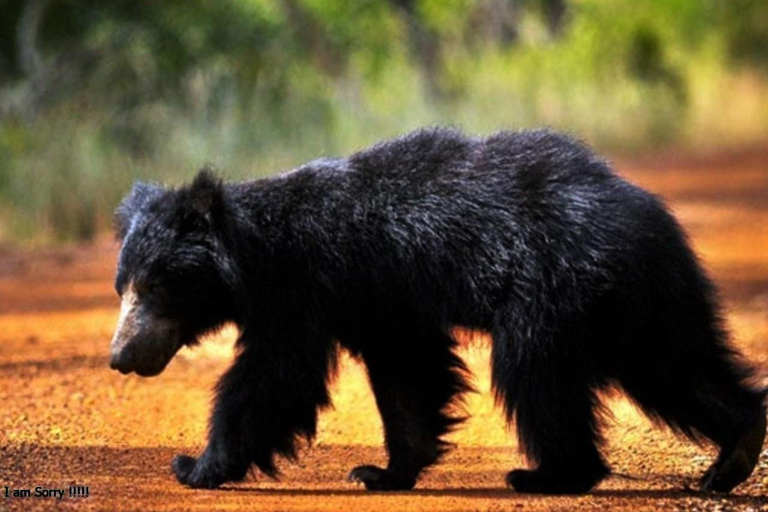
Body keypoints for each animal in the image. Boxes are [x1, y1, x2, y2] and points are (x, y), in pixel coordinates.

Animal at [109, 129, 768, 496]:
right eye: (122, 287)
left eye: (153, 286)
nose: (119, 357)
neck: (254, 252)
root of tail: (645, 214)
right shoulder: (379, 300)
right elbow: (408, 375)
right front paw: (384, 472)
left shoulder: (305, 288)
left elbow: (274, 377)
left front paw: (194, 465)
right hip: (645, 302)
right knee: (676, 368)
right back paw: (733, 453)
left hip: (556, 287)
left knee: (536, 374)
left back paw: (549, 475)